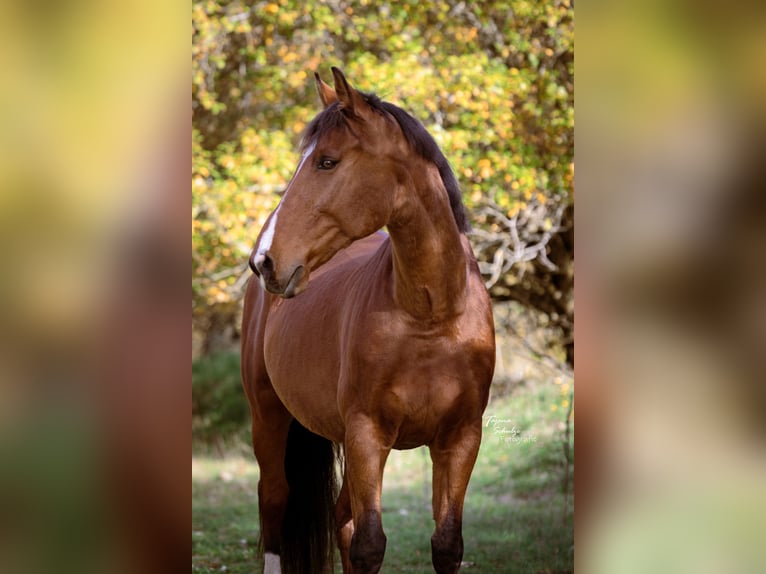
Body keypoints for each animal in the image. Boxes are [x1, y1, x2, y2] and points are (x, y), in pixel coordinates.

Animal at [240, 67, 495, 574]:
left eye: (327, 162)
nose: (264, 261)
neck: (431, 317)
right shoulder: (366, 433)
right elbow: (370, 544)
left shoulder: (460, 438)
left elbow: (445, 543)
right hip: (269, 415)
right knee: (275, 501)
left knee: (341, 520)